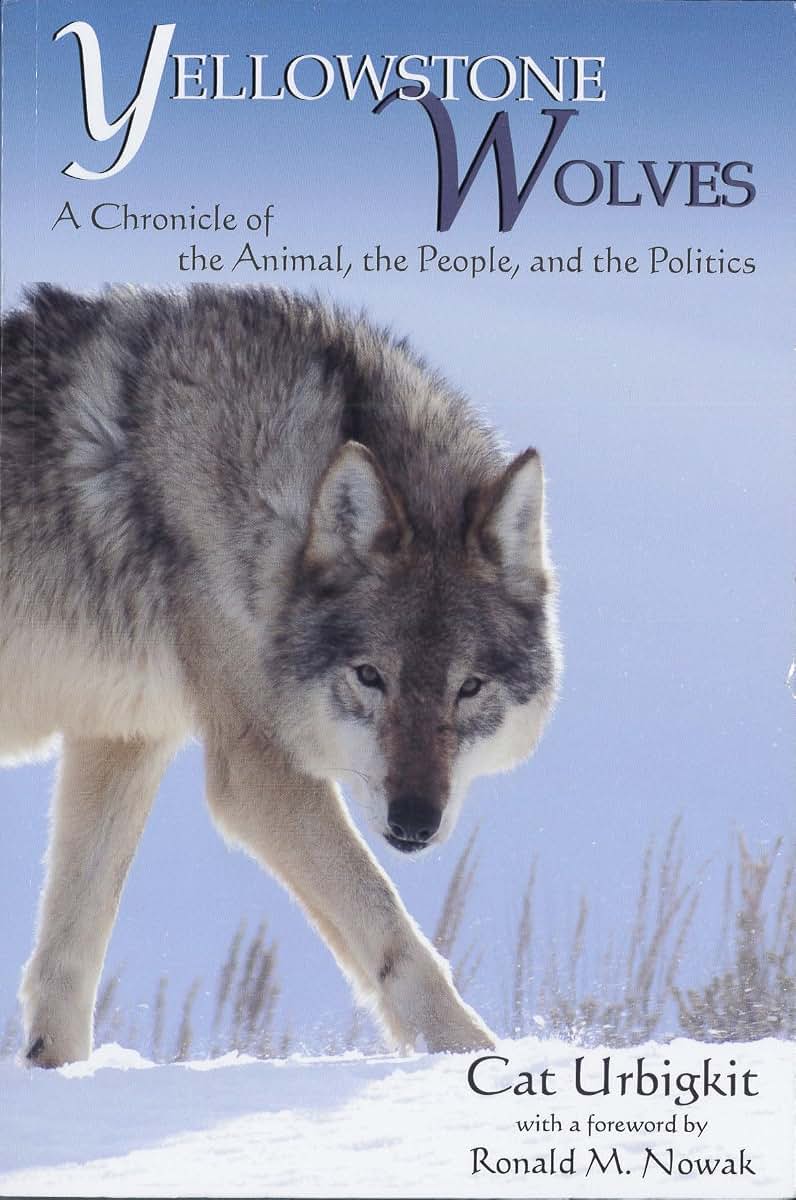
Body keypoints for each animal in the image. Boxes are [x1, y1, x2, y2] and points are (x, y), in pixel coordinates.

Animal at [0, 284, 560, 1067]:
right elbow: (392, 932)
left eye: (468, 687)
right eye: (370, 676)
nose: (414, 821)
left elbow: (69, 954)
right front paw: (469, 1059)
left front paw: (55, 1069)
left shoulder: (124, 735)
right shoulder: (261, 772)